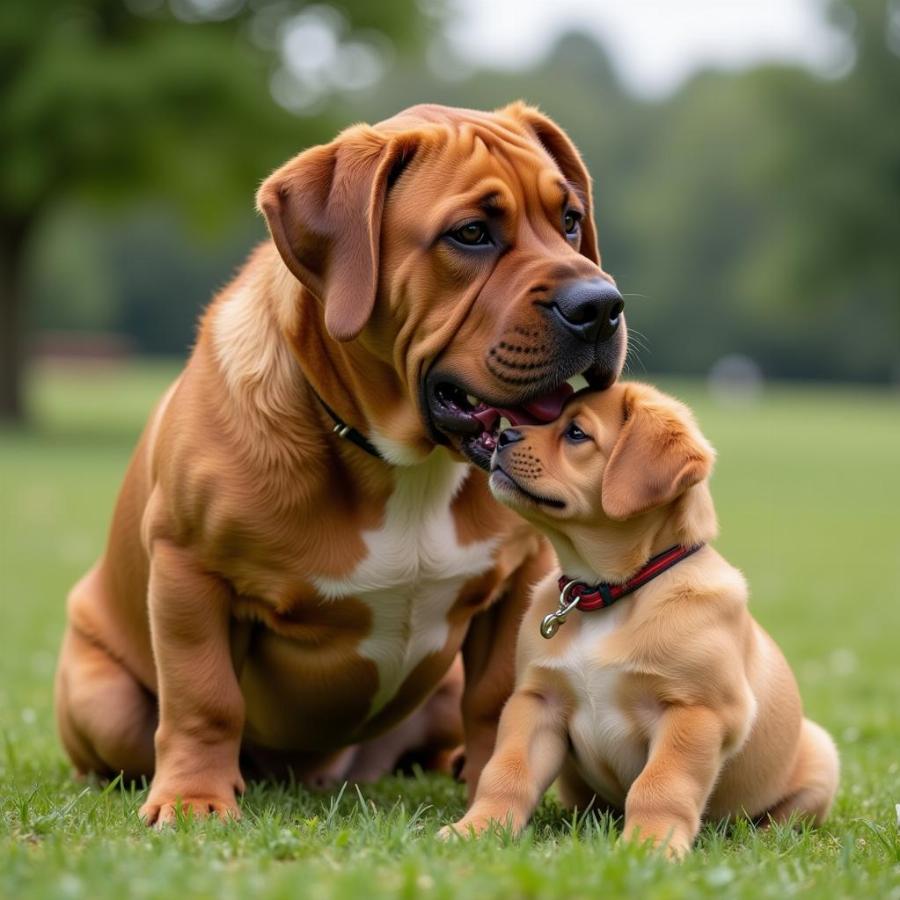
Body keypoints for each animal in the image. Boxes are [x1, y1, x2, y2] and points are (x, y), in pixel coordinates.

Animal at [52, 102, 628, 828]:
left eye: (571, 219)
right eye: (471, 234)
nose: (601, 305)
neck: (405, 463)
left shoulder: (516, 579)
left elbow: (496, 699)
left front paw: (490, 789)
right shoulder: (190, 569)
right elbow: (203, 695)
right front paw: (193, 799)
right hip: (105, 704)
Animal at [440, 384, 840, 856]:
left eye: (576, 433)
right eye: (546, 417)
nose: (502, 436)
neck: (608, 594)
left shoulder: (695, 712)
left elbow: (660, 786)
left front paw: (649, 847)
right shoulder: (537, 702)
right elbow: (506, 773)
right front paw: (476, 829)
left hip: (821, 753)